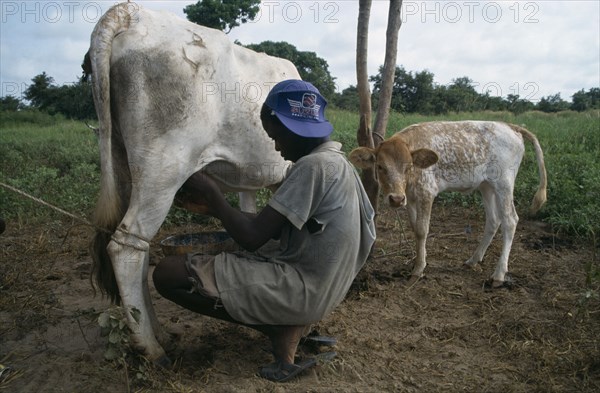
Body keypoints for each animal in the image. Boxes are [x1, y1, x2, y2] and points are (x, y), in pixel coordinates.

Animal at [87, 3, 300, 364]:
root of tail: (129, 13)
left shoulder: (250, 182)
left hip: (125, 164)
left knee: (139, 246)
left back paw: (158, 332)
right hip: (162, 170)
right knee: (125, 246)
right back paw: (151, 348)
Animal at [350, 121, 548, 286]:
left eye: (408, 167)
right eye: (380, 167)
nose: (396, 199)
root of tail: (511, 126)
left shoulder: (426, 192)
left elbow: (422, 230)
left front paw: (418, 269)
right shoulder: (412, 197)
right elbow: (414, 228)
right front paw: (418, 260)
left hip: (504, 183)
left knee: (510, 220)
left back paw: (499, 275)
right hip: (486, 185)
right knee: (493, 220)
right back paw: (473, 260)